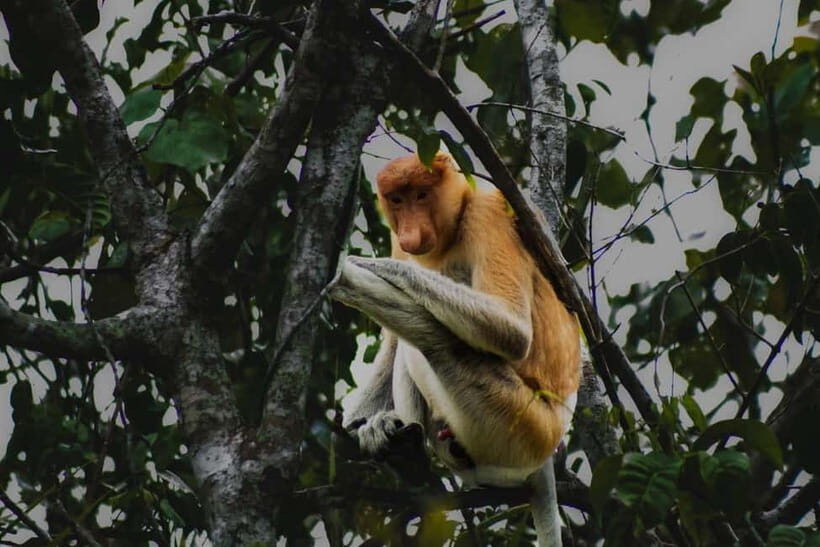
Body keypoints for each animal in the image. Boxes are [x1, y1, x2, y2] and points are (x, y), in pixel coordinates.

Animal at [330, 152, 581, 489]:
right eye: (397, 200)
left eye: (422, 195)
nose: (410, 231)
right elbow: (393, 343)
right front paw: (356, 426)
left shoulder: (488, 214)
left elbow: (512, 329)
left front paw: (358, 267)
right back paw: (407, 456)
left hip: (520, 424)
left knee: (431, 340)